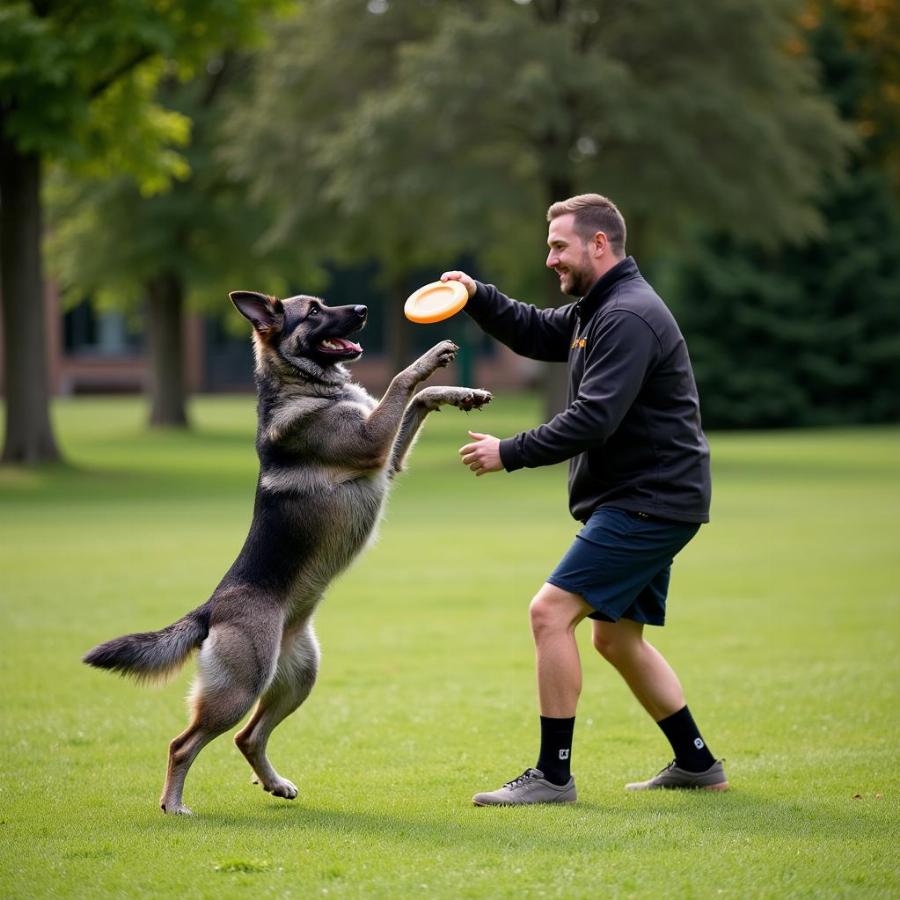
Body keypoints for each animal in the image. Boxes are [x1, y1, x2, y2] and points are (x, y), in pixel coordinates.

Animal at [82, 292, 492, 812]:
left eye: (326, 303)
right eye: (314, 311)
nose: (362, 308)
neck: (308, 388)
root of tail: (210, 609)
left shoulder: (387, 456)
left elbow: (418, 397)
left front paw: (461, 393)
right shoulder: (372, 443)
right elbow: (402, 380)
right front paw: (430, 357)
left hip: (298, 678)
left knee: (248, 737)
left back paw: (275, 784)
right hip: (240, 688)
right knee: (184, 743)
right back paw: (173, 804)